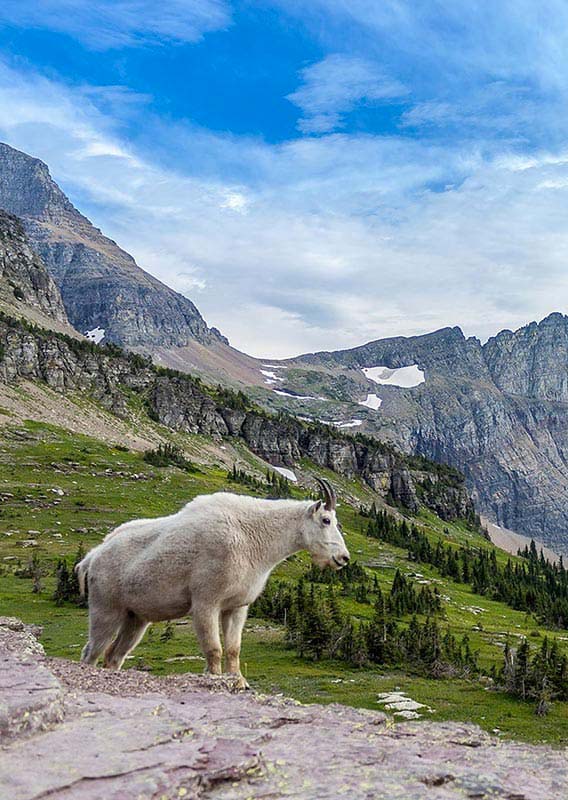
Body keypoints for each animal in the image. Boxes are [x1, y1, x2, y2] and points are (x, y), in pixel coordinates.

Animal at [77, 476, 348, 688]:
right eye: (326, 520)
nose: (343, 558)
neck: (252, 537)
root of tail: (92, 557)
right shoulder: (206, 602)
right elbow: (214, 649)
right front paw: (215, 680)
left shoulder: (236, 607)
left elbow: (233, 649)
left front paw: (240, 683)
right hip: (106, 609)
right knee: (91, 651)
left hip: (136, 618)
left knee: (114, 655)